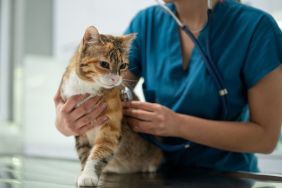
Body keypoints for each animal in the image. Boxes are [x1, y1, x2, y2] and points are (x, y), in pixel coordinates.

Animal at [60, 26, 163, 187]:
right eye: (104, 64)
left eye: (123, 65)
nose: (115, 79)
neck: (88, 88)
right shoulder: (79, 128)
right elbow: (84, 153)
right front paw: (83, 173)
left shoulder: (111, 128)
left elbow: (99, 152)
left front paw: (88, 175)